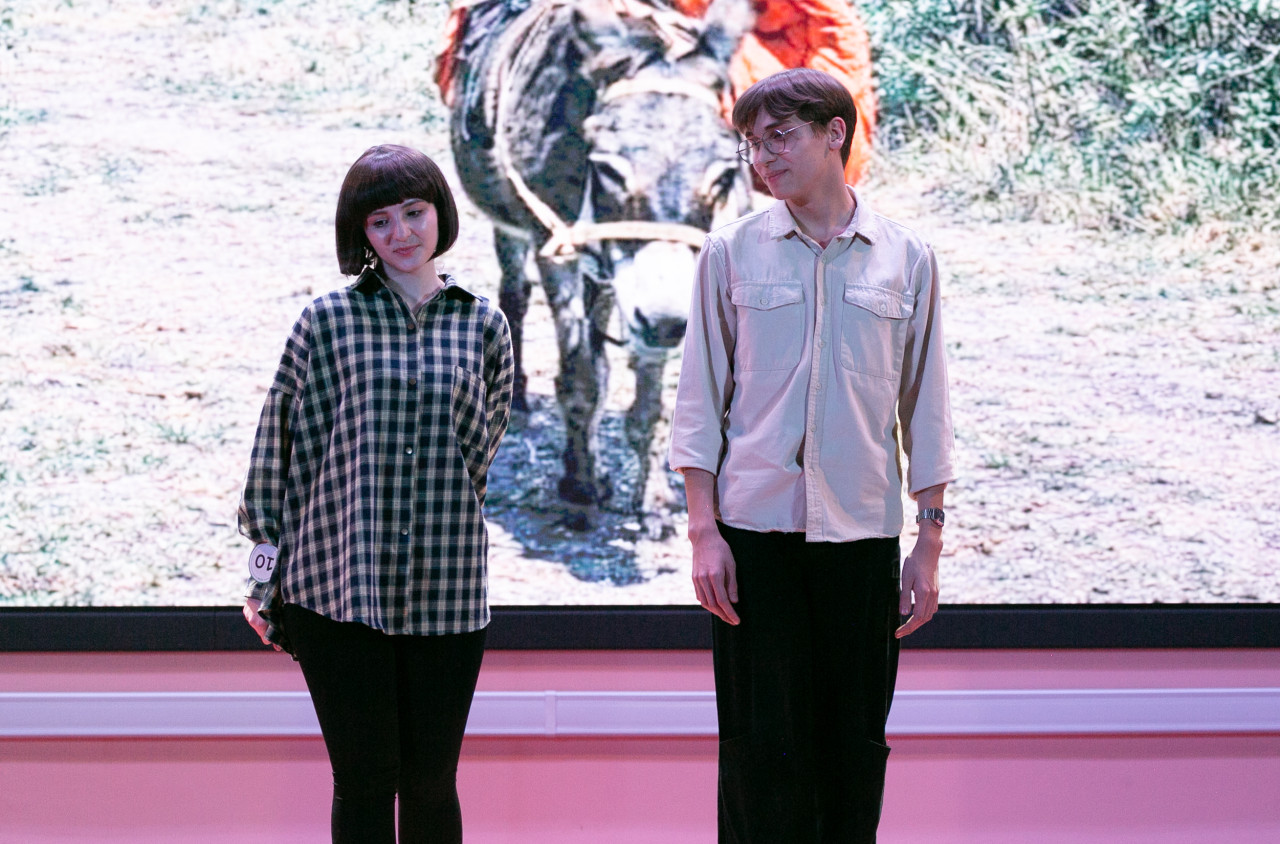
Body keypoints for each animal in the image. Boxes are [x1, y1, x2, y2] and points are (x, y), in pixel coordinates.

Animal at [446, 0, 753, 536]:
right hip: (514, 230)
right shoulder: (555, 247)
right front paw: (580, 492)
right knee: (514, 297)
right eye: (608, 169)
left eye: (724, 173)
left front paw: (652, 500)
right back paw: (523, 403)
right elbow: (582, 378)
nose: (664, 322)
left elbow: (649, 396)